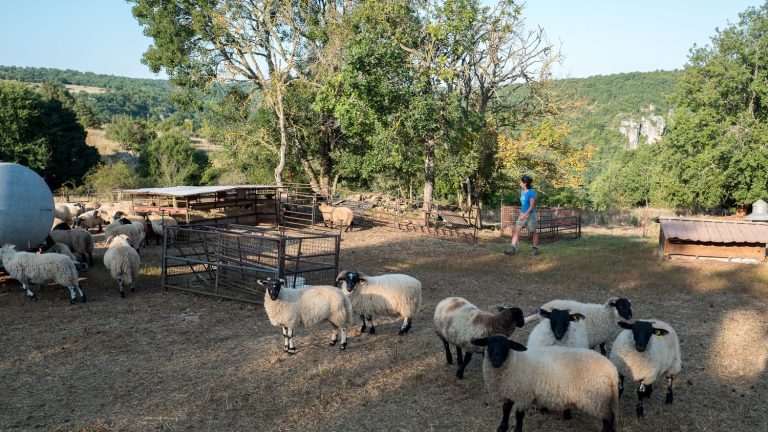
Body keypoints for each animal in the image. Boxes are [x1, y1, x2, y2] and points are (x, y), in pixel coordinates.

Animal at [472, 336, 620, 432]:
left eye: (507, 346)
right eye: (489, 343)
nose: (496, 360)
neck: (514, 362)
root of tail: (612, 369)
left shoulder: (523, 395)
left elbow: (519, 416)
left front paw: (517, 430)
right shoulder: (509, 391)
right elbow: (505, 410)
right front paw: (502, 427)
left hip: (596, 399)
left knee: (608, 418)